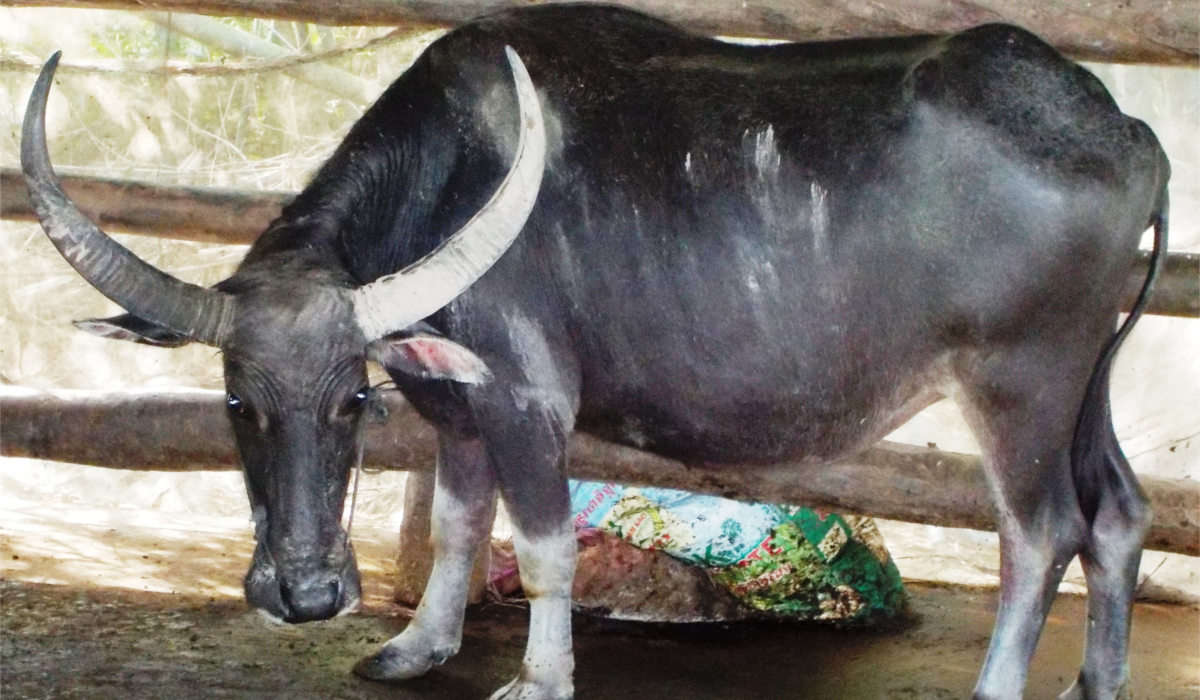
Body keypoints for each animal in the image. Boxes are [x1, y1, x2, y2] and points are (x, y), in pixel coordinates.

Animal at [21, 5, 1171, 700]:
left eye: (350, 404)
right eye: (237, 405)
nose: (304, 594)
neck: (449, 178)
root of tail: (1122, 129)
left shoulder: (526, 403)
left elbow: (540, 548)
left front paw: (539, 675)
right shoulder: (456, 412)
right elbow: (457, 525)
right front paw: (418, 643)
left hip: (1021, 383)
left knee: (1043, 533)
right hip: (1091, 382)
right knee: (1119, 512)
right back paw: (1098, 679)